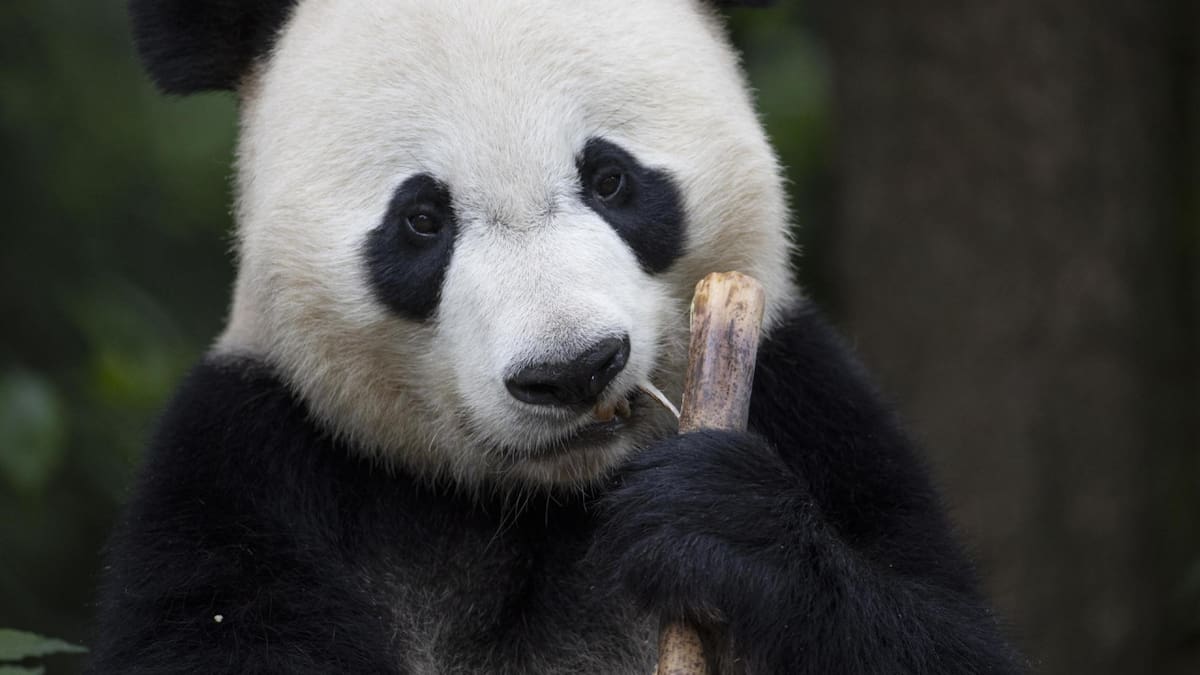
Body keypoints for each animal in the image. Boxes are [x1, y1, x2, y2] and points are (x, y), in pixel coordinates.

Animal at [91, 0, 1023, 673]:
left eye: (610, 178)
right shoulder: (247, 468)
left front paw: (718, 521)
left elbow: (943, 633)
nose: (574, 370)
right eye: (422, 219)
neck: (541, 501)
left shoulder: (819, 411)